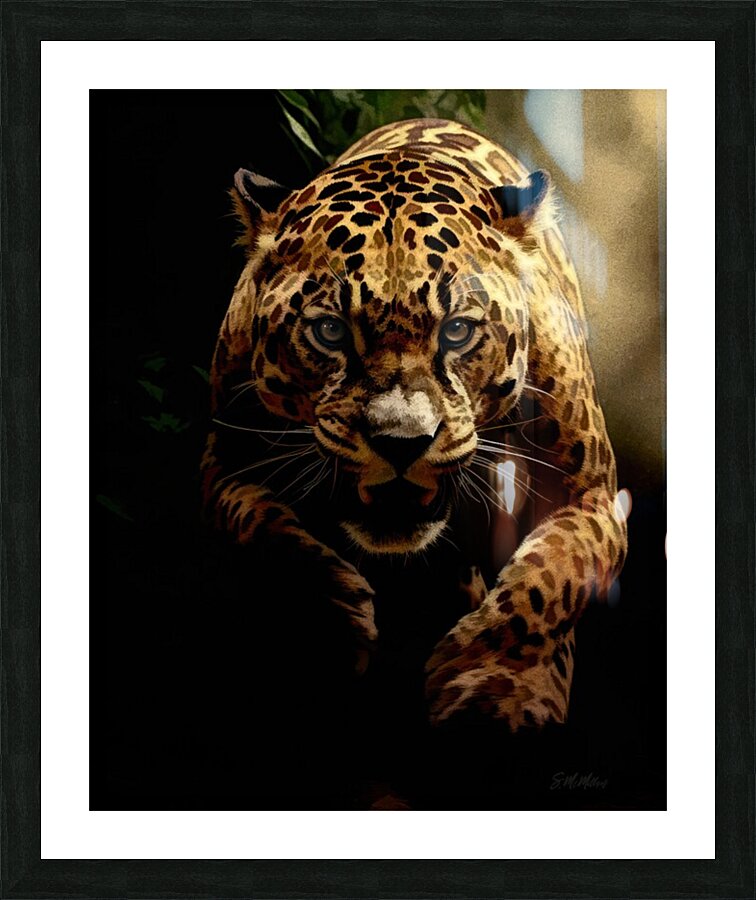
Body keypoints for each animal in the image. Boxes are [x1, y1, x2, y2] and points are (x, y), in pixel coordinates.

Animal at [201, 117, 628, 730]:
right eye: (330, 331)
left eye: (457, 331)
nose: (401, 444)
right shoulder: (225, 465)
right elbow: (267, 533)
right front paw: (336, 624)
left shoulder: (591, 495)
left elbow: (547, 580)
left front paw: (490, 683)